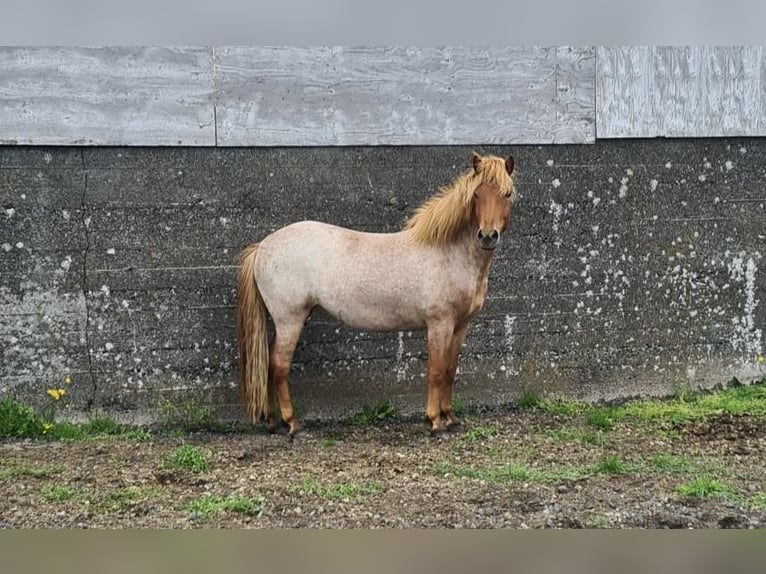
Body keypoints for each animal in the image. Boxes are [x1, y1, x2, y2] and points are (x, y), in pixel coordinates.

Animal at [236, 151, 517, 436]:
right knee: (279, 366)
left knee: (267, 364)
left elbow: (450, 371)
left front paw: (450, 417)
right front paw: (435, 422)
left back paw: (272, 421)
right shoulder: (439, 324)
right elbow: (436, 371)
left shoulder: (460, 325)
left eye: (506, 194)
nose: (487, 236)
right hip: (289, 320)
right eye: (476, 195)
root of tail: (262, 247)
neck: (449, 253)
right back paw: (292, 423)